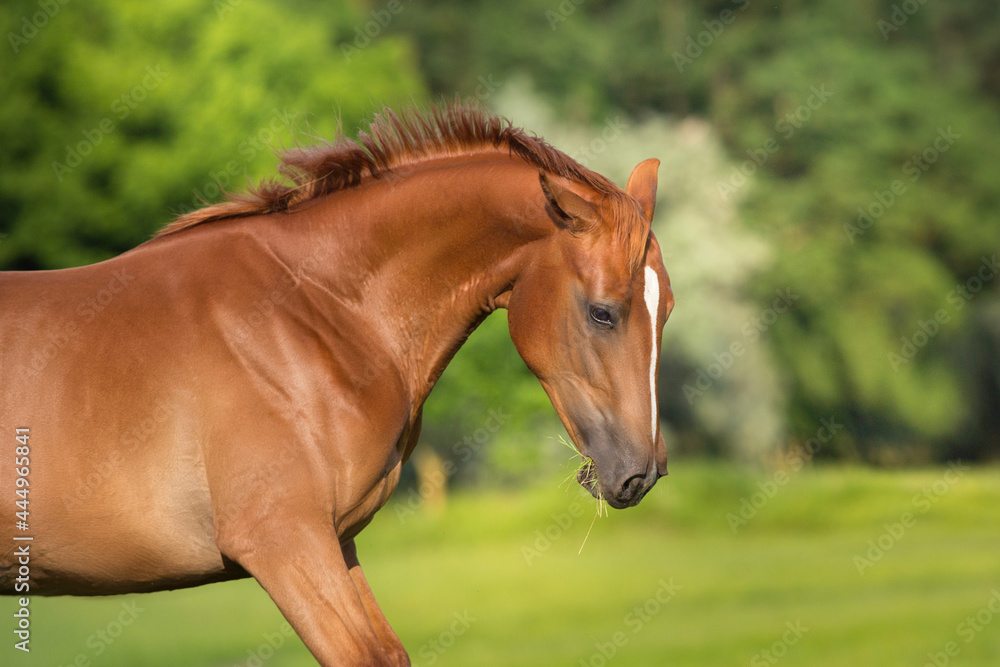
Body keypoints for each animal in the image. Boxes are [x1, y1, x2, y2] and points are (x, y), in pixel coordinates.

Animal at [0, 103, 673, 665]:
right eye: (604, 313)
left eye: (665, 309)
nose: (643, 471)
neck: (307, 316)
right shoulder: (284, 543)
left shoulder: (335, 543)